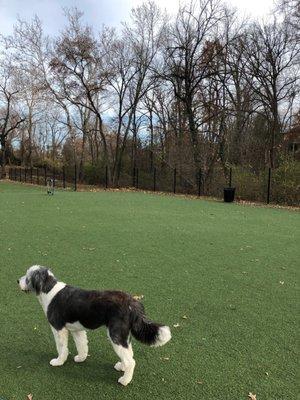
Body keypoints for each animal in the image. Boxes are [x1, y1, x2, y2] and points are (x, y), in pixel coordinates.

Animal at [17, 266, 171, 384]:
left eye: (28, 277)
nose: (18, 280)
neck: (48, 290)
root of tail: (133, 303)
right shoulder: (77, 330)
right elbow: (82, 345)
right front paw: (81, 358)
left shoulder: (58, 329)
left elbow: (61, 348)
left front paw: (58, 361)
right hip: (123, 335)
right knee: (129, 354)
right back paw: (121, 367)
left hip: (115, 334)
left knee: (130, 361)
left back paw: (124, 380)